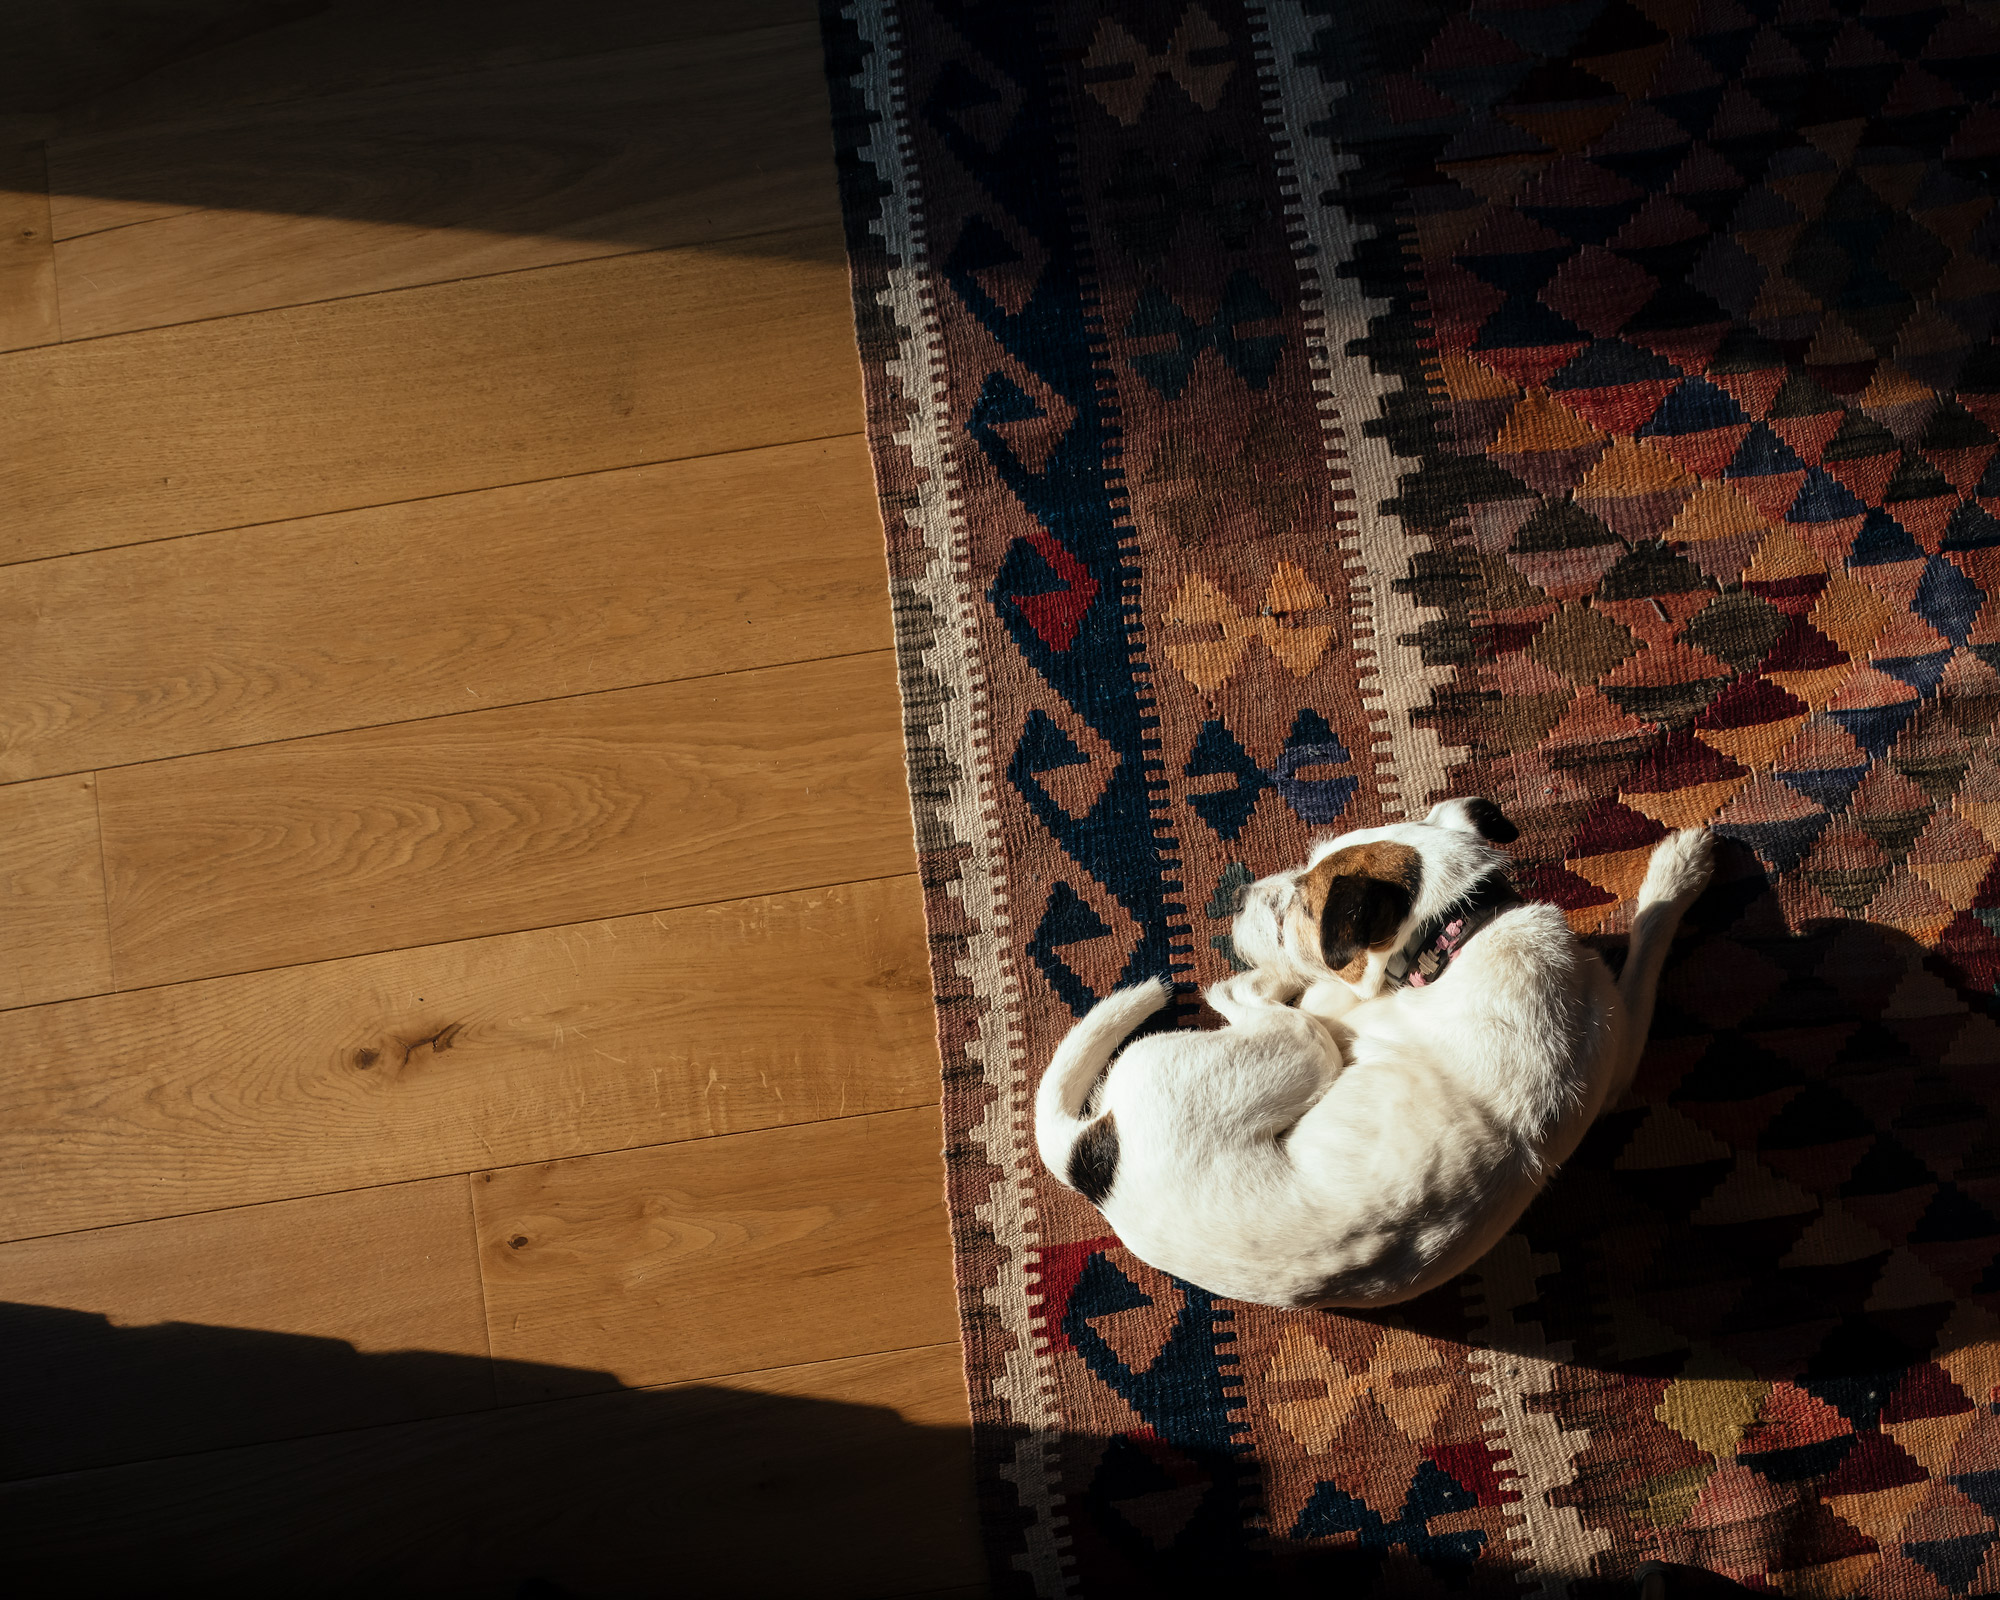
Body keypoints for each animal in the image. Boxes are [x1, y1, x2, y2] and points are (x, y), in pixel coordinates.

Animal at [1034, 797, 1712, 1309]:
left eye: (1293, 909)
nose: (1240, 894)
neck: (1461, 931)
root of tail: (1092, 1165)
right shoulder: (1619, 1053)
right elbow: (1647, 945)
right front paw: (1682, 870)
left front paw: (1678, 871)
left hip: (1301, 1050)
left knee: (1238, 994)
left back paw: (1260, 982)